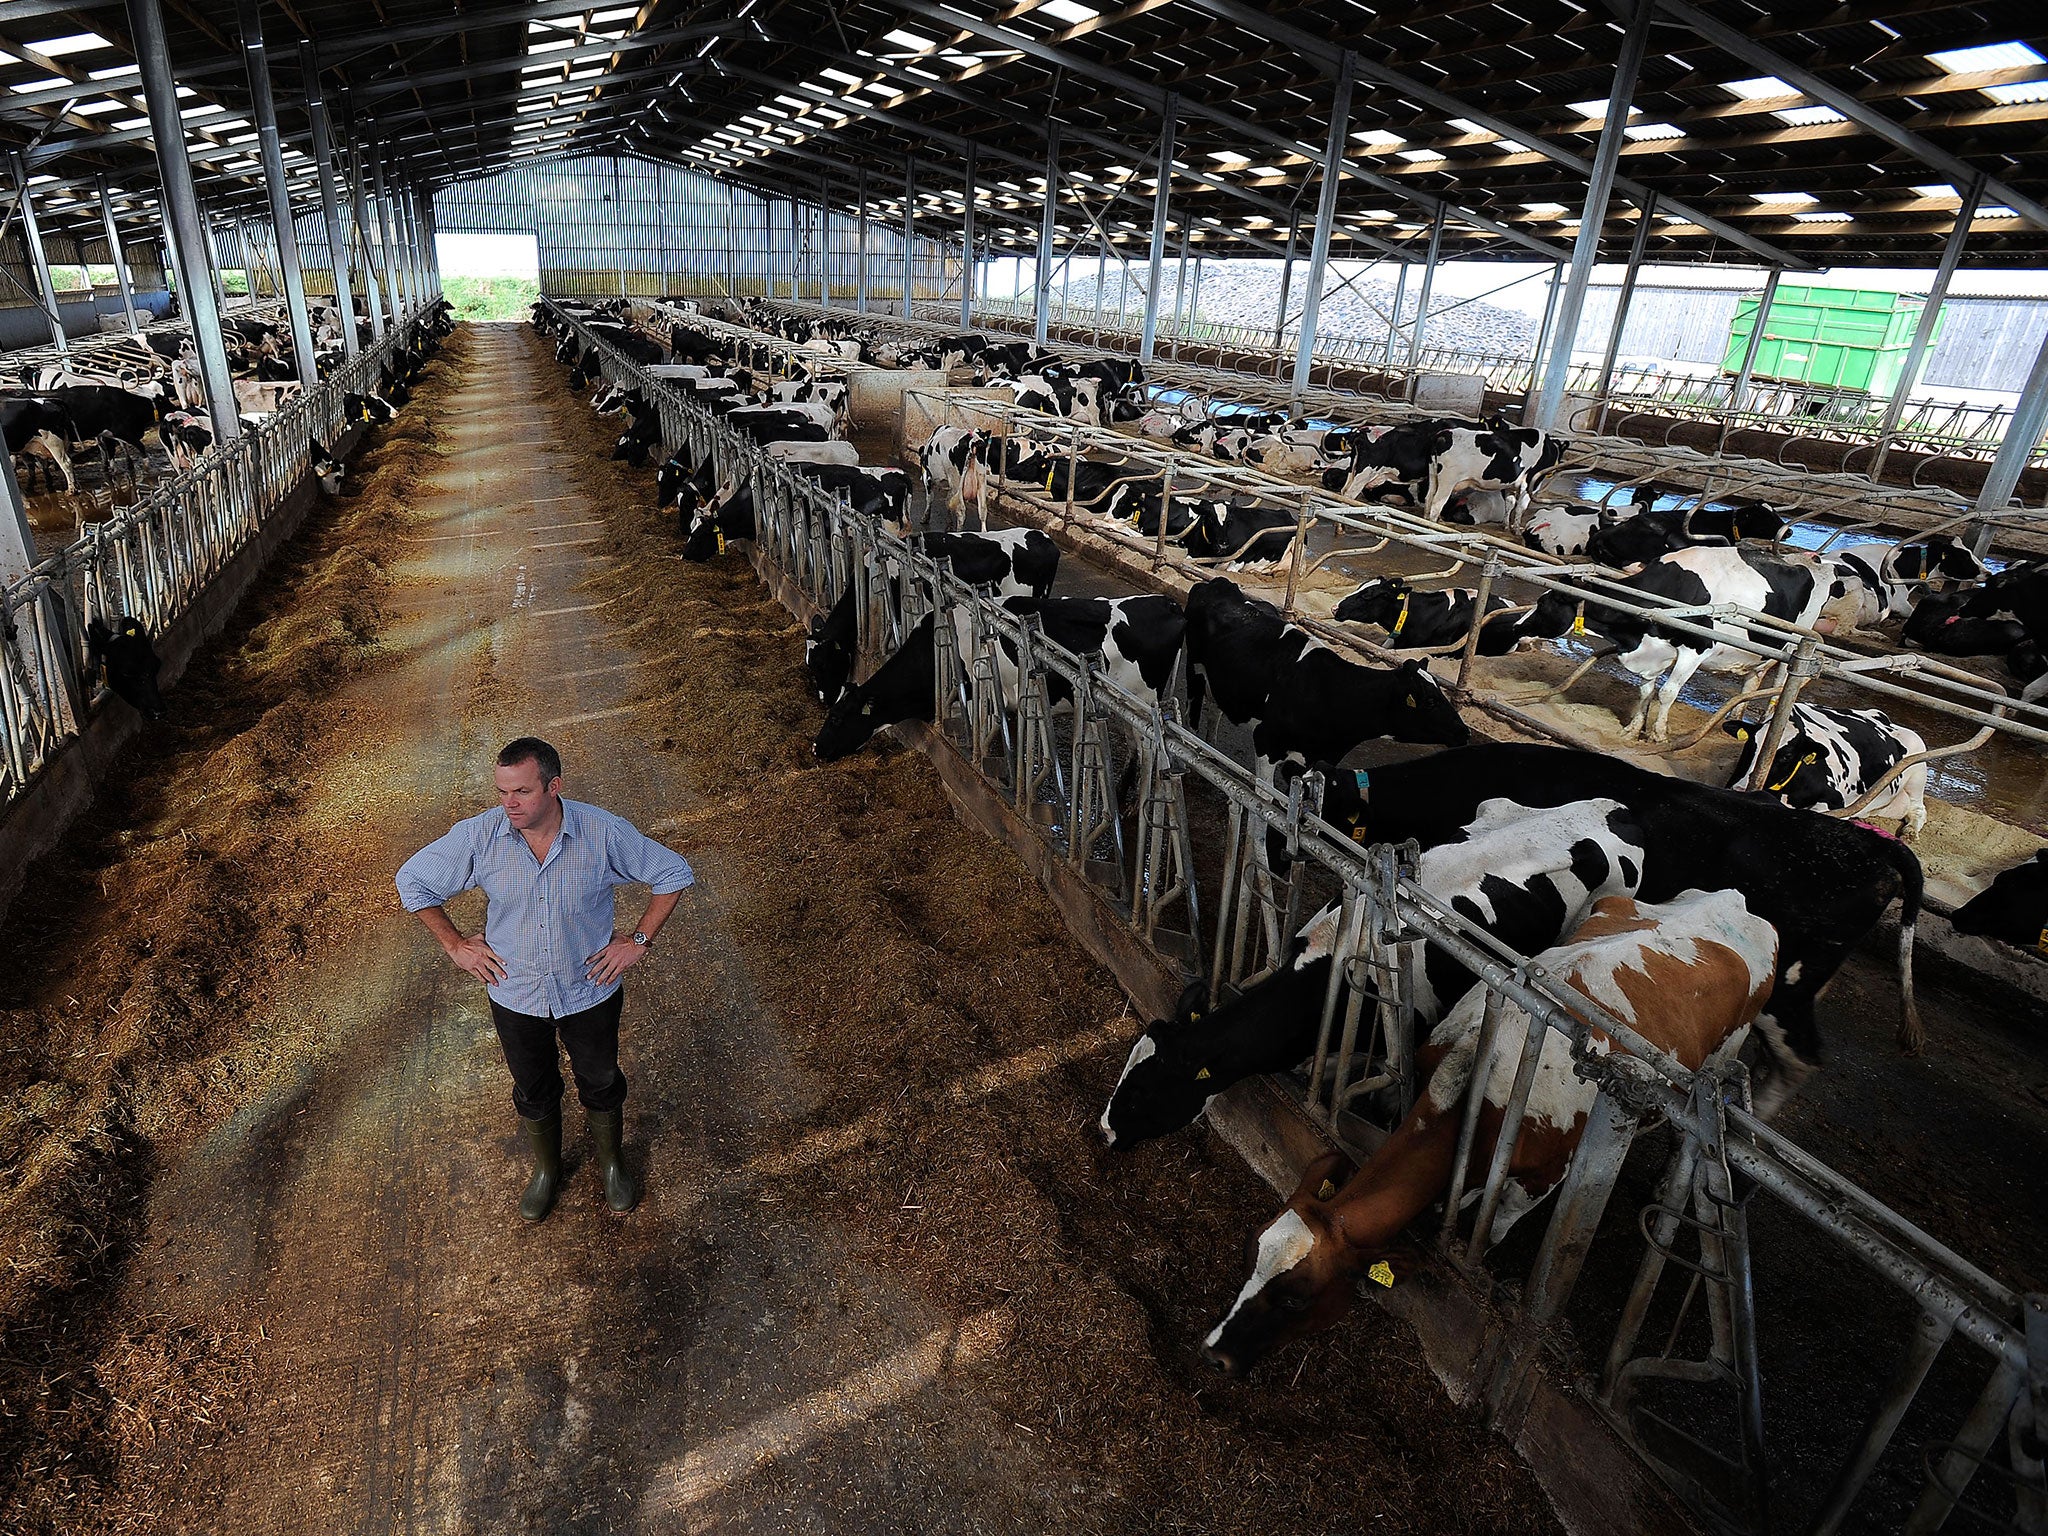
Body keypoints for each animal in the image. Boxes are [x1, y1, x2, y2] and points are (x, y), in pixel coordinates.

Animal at [1196, 888, 1777, 1384]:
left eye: (1297, 1299)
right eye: (1250, 1250)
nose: (1214, 1354)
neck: (1478, 1089)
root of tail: (1736, 899)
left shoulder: (1543, 1179)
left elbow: (1494, 1228)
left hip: (1720, 1065)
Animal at [1720, 708, 1925, 843]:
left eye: (1787, 756)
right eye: (1750, 745)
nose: (1740, 789)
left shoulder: (1835, 800)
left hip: (1918, 774)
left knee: (1918, 810)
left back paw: (1909, 833)